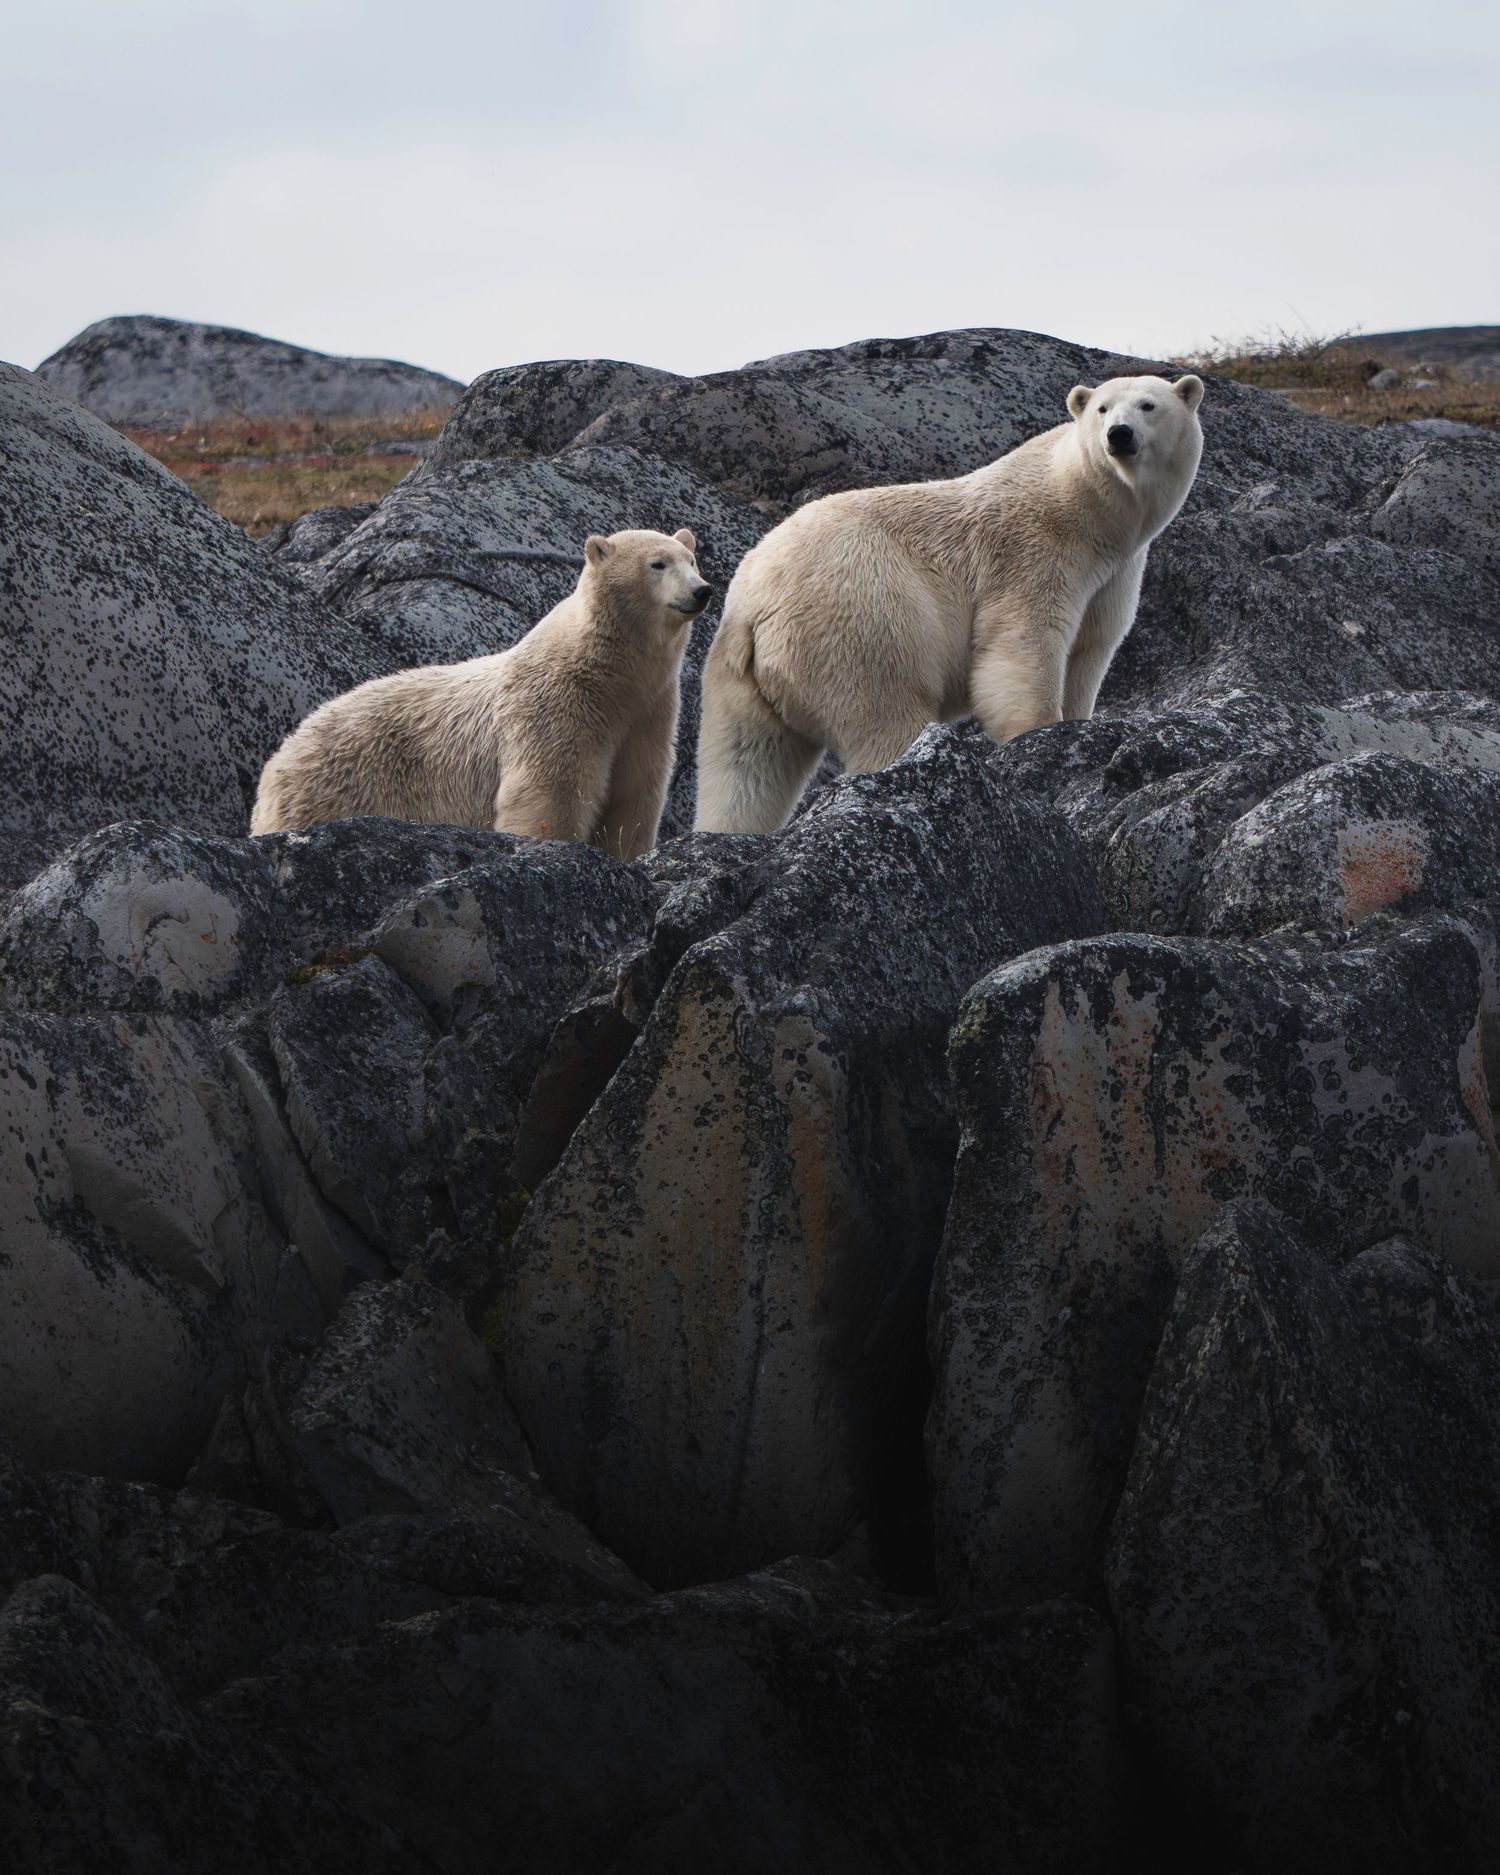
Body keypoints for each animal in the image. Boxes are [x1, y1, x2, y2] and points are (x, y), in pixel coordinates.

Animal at [251, 527, 711, 859]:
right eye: (657, 563)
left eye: (691, 559)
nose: (701, 589)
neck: (607, 673)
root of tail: (279, 757)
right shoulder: (556, 707)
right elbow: (549, 793)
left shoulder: (647, 713)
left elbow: (633, 799)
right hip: (334, 788)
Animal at [694, 373, 1205, 833]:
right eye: (1102, 408)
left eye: (1148, 405)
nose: (1119, 435)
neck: (1084, 507)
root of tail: (754, 605)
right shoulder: (1032, 551)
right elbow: (1022, 642)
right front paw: (1037, 732)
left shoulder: (1115, 572)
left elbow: (1090, 648)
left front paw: (1077, 721)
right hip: (861, 616)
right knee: (888, 714)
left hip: (737, 680)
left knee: (746, 765)